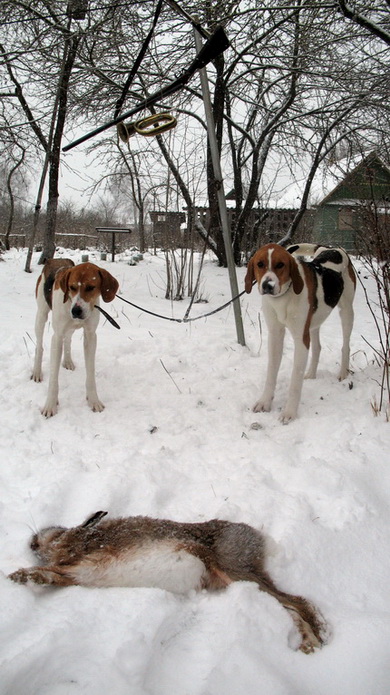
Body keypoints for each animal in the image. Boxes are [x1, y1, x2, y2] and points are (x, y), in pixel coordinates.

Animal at [8, 512, 326, 652]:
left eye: (56, 531)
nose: (32, 540)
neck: (80, 540)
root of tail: (259, 539)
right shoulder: (73, 575)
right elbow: (51, 575)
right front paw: (22, 577)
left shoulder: (81, 559)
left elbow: (53, 567)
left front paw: (15, 575)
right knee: (289, 606)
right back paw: (309, 641)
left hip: (233, 568)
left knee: (297, 602)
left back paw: (313, 641)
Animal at [32, 258, 119, 416]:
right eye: (71, 287)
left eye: (91, 287)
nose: (76, 311)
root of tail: (54, 259)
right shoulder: (57, 337)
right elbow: (53, 379)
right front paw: (50, 405)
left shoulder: (91, 336)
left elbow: (90, 374)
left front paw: (93, 400)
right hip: (41, 316)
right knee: (39, 346)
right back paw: (36, 371)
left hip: (69, 328)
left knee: (68, 340)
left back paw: (67, 361)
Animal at [247, 242, 356, 422]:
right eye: (260, 264)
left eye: (280, 265)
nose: (267, 286)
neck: (284, 297)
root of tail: (331, 247)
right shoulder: (275, 335)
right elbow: (271, 373)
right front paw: (264, 402)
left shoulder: (300, 339)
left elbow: (295, 381)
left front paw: (289, 412)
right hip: (315, 321)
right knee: (317, 347)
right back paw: (311, 373)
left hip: (346, 311)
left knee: (345, 345)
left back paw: (343, 372)